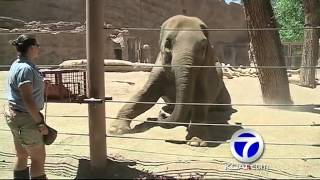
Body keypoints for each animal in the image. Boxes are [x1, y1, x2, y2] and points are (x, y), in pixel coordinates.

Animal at [109, 15, 231, 146]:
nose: (161, 115)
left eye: (203, 47)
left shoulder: (207, 70)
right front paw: (115, 130)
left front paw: (196, 142)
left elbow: (201, 97)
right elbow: (146, 96)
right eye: (167, 44)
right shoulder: (158, 68)